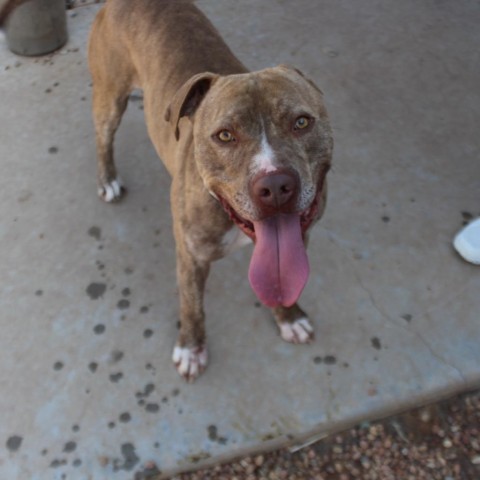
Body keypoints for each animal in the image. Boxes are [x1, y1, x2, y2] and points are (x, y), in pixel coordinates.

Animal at [1, 0, 334, 382]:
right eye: (224, 135)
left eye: (301, 122)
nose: (275, 185)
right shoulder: (191, 257)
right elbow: (192, 307)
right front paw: (191, 349)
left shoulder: (301, 235)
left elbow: (286, 281)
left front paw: (289, 317)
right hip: (109, 98)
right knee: (103, 137)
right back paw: (107, 179)